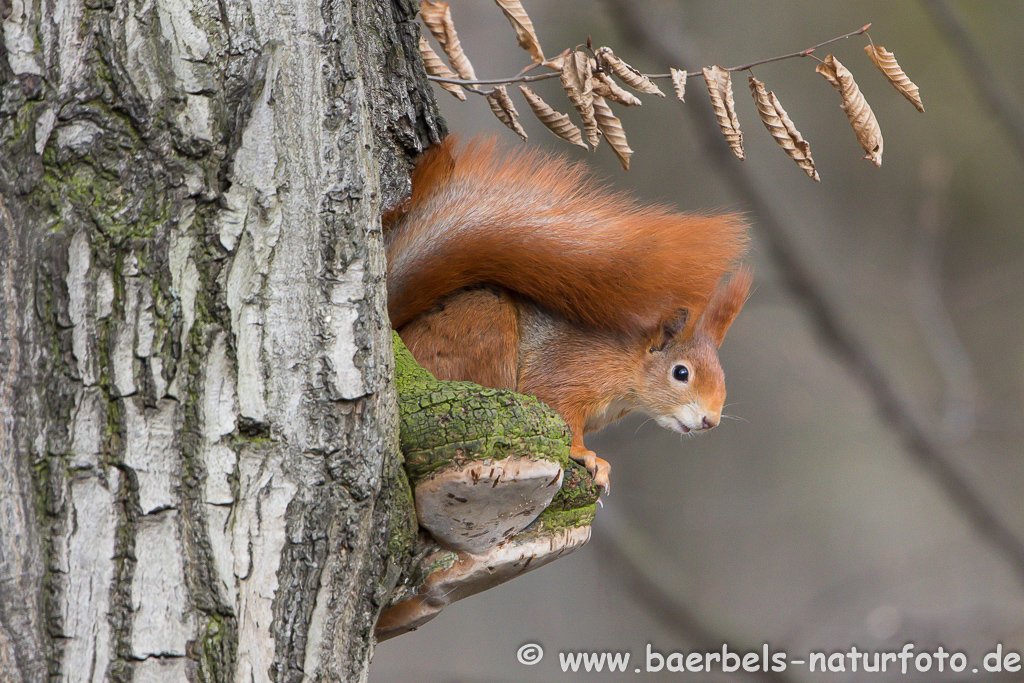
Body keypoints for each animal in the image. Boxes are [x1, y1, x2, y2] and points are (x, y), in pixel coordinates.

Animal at [385, 139, 753, 491]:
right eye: (681, 373)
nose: (710, 421)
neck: (625, 366)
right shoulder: (568, 372)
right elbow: (559, 411)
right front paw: (587, 456)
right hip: (483, 327)